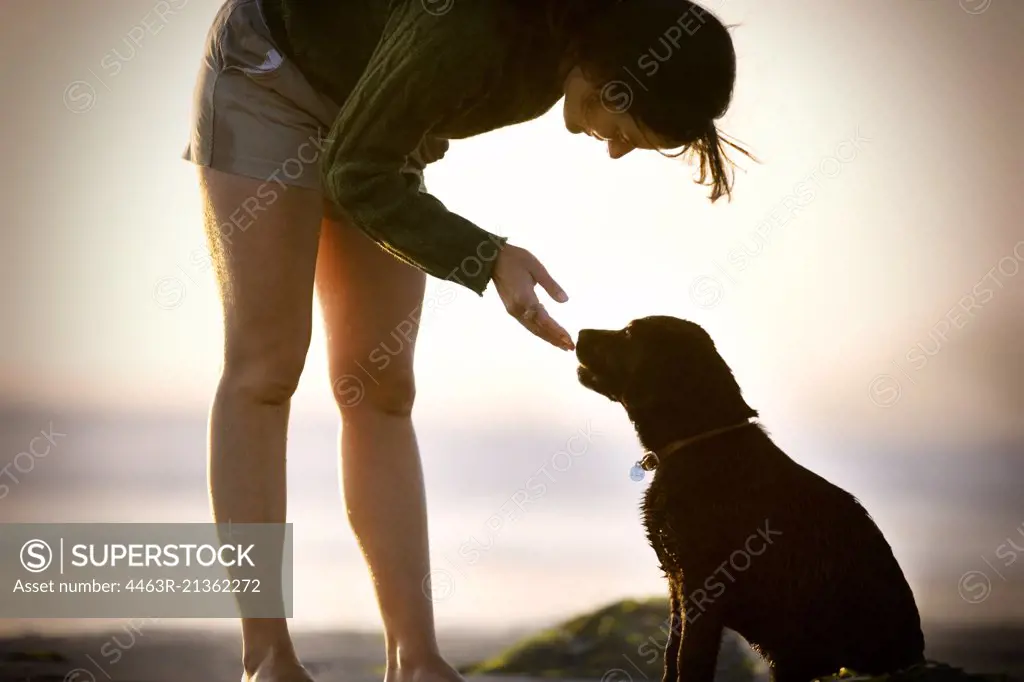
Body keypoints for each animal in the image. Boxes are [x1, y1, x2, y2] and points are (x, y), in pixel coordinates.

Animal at [577, 315, 929, 679]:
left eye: (628, 333)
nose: (580, 331)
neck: (698, 441)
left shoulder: (703, 586)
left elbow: (689, 659)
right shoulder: (675, 580)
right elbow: (670, 654)